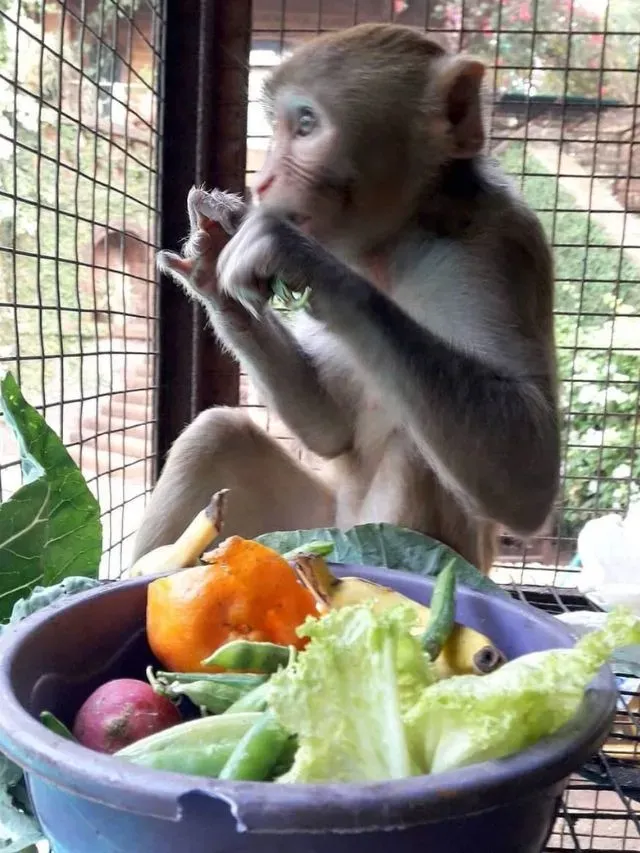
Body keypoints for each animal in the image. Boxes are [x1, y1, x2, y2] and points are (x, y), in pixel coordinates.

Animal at [132, 23, 560, 574]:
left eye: (306, 124)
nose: (262, 182)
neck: (394, 244)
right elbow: (330, 430)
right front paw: (211, 262)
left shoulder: (501, 248)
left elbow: (529, 475)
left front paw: (305, 260)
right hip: (304, 523)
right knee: (217, 433)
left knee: (413, 456)